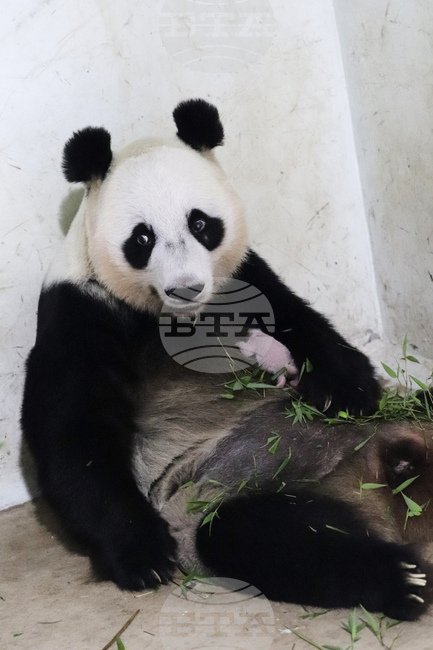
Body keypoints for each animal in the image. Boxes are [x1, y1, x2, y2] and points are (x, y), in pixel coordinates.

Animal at [21, 99, 433, 622]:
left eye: (200, 224)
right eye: (142, 238)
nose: (186, 287)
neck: (177, 319)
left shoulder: (245, 277)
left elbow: (301, 322)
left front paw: (349, 391)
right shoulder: (81, 312)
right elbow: (74, 435)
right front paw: (143, 555)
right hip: (221, 498)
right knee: (272, 539)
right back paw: (400, 578)